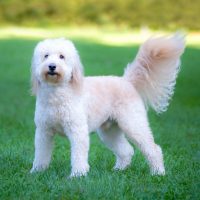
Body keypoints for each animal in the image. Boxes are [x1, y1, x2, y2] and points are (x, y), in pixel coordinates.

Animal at [30, 34, 185, 177]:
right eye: (46, 56)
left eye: (62, 56)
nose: (52, 66)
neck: (57, 96)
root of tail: (126, 81)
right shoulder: (43, 131)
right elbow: (41, 153)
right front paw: (37, 171)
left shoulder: (77, 130)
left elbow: (78, 154)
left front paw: (78, 174)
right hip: (110, 131)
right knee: (126, 150)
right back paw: (119, 170)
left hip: (134, 124)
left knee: (153, 149)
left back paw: (158, 172)